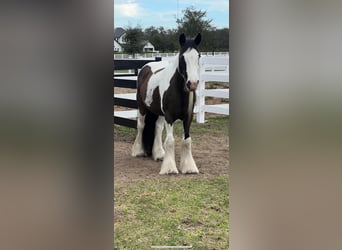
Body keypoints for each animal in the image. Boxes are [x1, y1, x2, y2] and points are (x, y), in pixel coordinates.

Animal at [130, 32, 200, 174]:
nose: (192, 84)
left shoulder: (188, 117)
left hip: (159, 112)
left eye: (198, 56)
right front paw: (169, 168)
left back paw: (159, 154)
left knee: (157, 128)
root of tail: (146, 67)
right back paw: (138, 151)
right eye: (182, 57)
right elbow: (170, 140)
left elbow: (187, 140)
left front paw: (189, 167)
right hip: (142, 108)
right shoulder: (169, 116)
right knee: (141, 126)